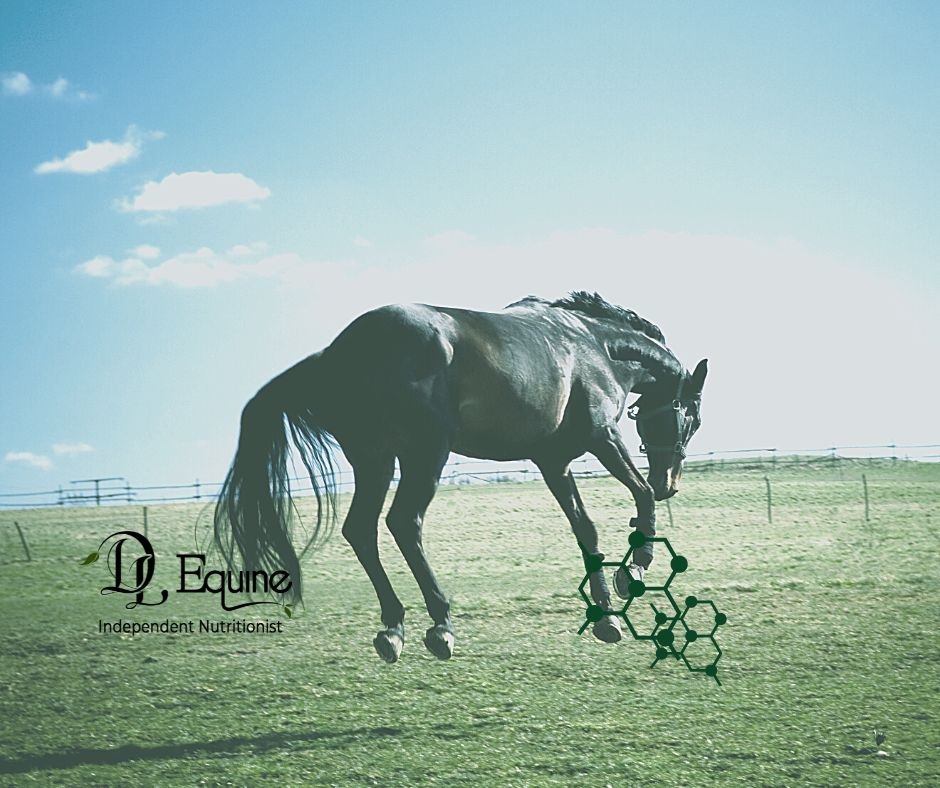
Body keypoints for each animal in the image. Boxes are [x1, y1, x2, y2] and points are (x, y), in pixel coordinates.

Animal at [214, 291, 707, 662]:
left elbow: (585, 529)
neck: (593, 345)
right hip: (423, 455)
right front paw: (636, 568)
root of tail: (339, 351)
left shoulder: (554, 462)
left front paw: (606, 616)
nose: (671, 482)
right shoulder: (603, 437)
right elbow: (639, 495)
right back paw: (440, 623)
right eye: (693, 418)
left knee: (361, 530)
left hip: (376, 461)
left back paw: (394, 628)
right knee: (403, 523)